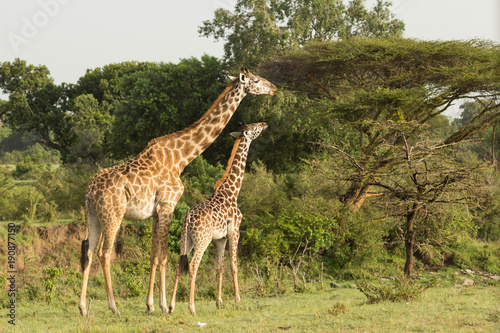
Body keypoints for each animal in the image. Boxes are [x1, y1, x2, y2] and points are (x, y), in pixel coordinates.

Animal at [169, 122, 270, 314]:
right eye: (255, 127)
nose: (265, 124)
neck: (232, 192)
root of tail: (188, 216)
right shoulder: (235, 231)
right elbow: (234, 265)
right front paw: (238, 300)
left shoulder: (220, 238)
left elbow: (220, 267)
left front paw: (219, 302)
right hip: (202, 239)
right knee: (193, 265)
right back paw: (191, 307)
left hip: (186, 239)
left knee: (179, 264)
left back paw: (170, 307)